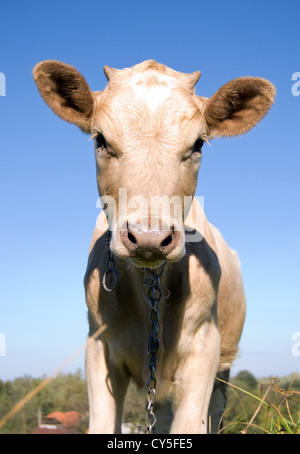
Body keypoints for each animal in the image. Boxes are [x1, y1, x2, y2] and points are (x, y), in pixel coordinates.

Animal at [33, 60, 276, 432]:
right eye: (100, 139)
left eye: (199, 144)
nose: (149, 237)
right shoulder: (98, 345)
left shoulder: (205, 347)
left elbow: (190, 425)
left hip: (223, 367)